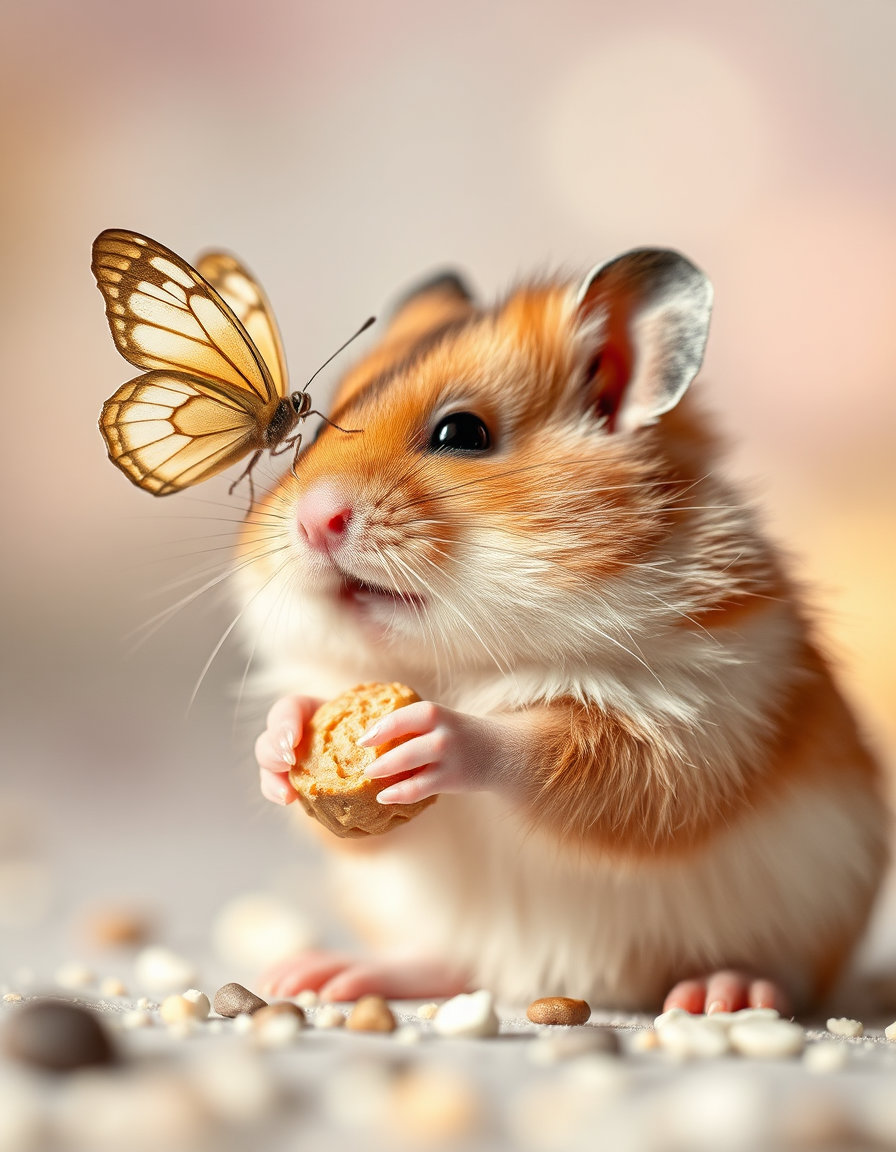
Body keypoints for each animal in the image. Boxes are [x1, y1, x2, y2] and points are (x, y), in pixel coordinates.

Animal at [241, 249, 889, 1013]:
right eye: (313, 433)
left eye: (463, 434)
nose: (312, 521)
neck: (455, 664)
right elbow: (349, 813)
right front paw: (284, 741)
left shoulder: (691, 721)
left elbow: (555, 753)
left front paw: (426, 735)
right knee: (451, 964)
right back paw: (321, 976)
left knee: (779, 974)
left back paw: (723, 993)